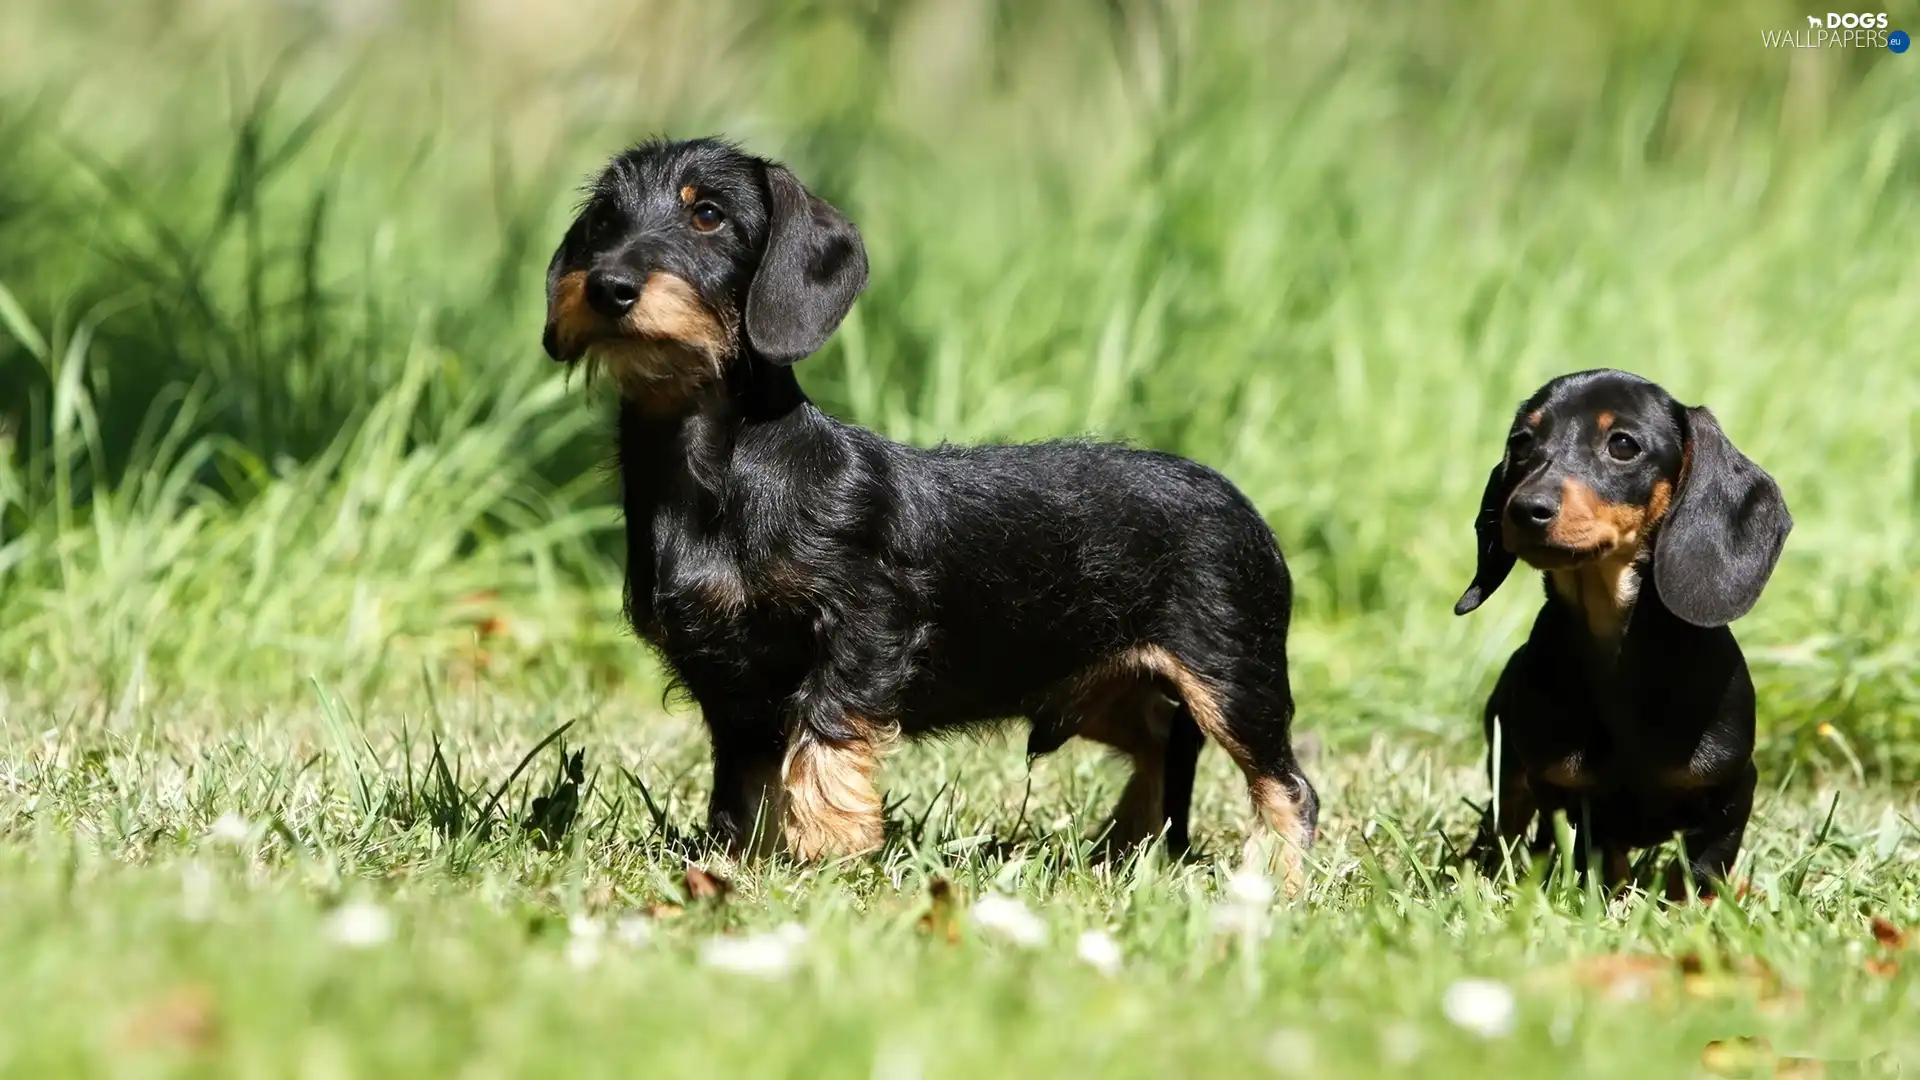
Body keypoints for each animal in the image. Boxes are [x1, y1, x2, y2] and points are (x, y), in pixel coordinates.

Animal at [541, 136, 1320, 876]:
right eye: (604, 221)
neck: (720, 471)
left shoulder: (865, 627)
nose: (608, 286)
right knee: (1161, 748)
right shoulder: (725, 680)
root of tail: (1244, 506)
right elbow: (744, 780)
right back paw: (1128, 852)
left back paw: (1273, 881)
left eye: (707, 214)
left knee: (1287, 785)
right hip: (1104, 684)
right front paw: (738, 860)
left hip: (1231, 676)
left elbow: (825, 730)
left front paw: (830, 846)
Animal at [1459, 368, 1789, 891]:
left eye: (1622, 444)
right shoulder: (1569, 799)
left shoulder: (1731, 793)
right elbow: (1602, 863)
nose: (1524, 509)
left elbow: (1699, 873)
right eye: (1523, 442)